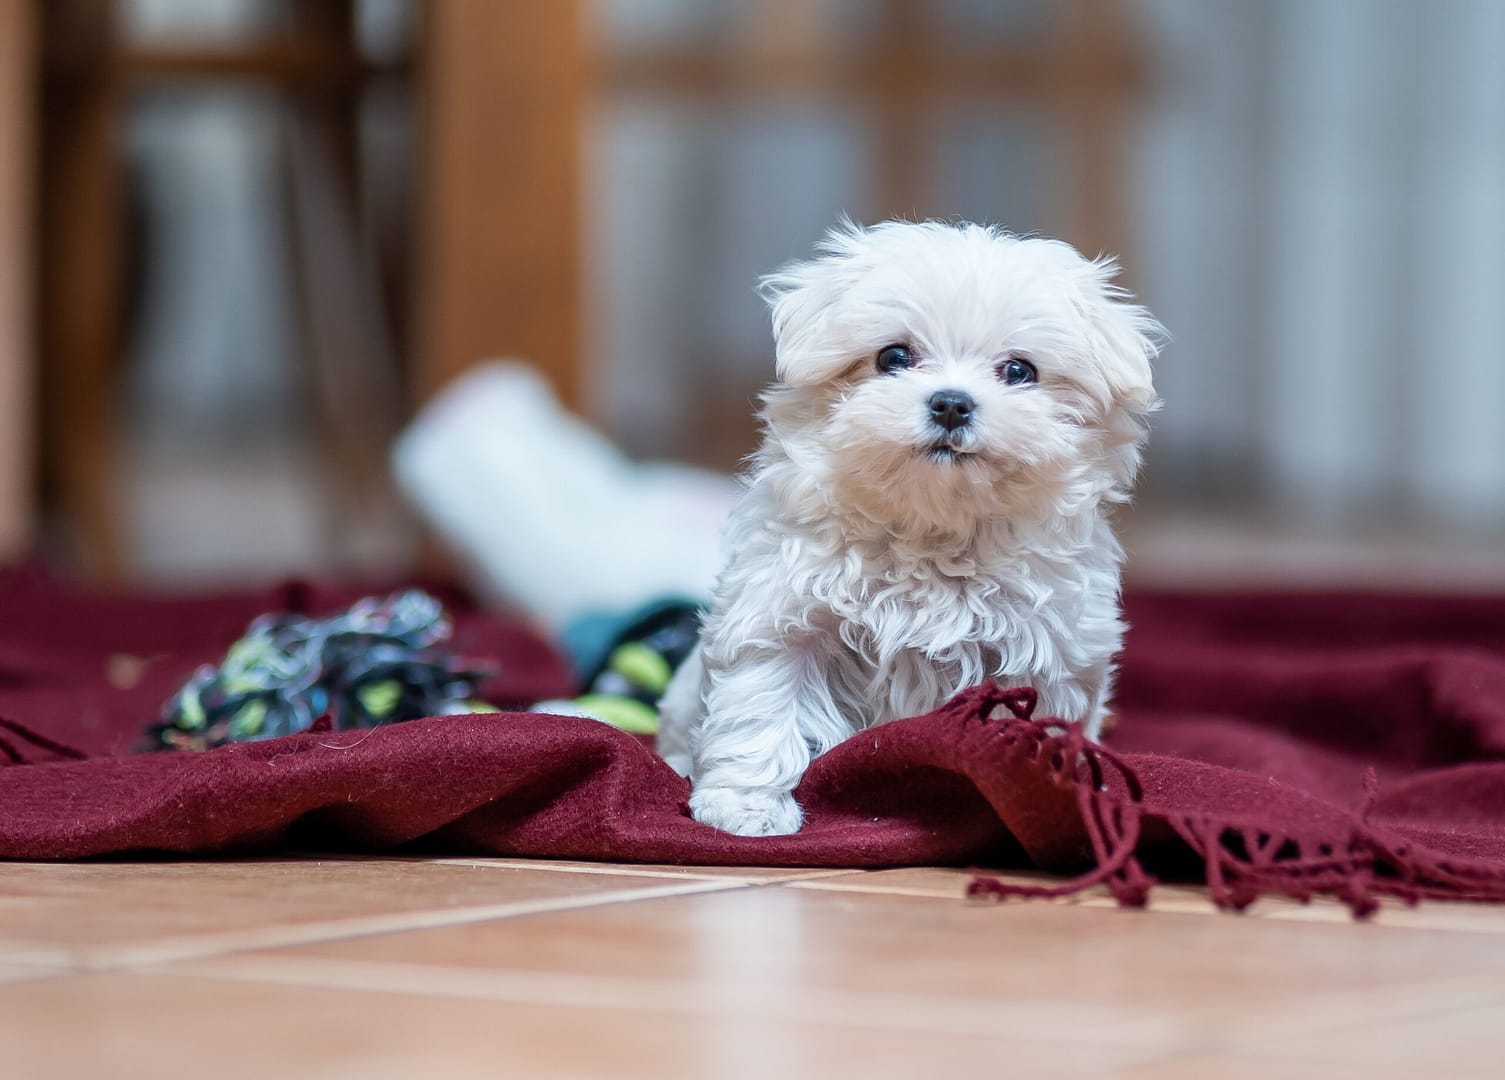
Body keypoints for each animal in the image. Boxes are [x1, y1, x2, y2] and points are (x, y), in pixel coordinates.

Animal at [653, 219, 1155, 842]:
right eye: (893, 356)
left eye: (1020, 371)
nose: (952, 403)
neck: (931, 532)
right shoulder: (782, 618)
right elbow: (763, 707)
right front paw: (746, 808)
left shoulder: (1049, 655)